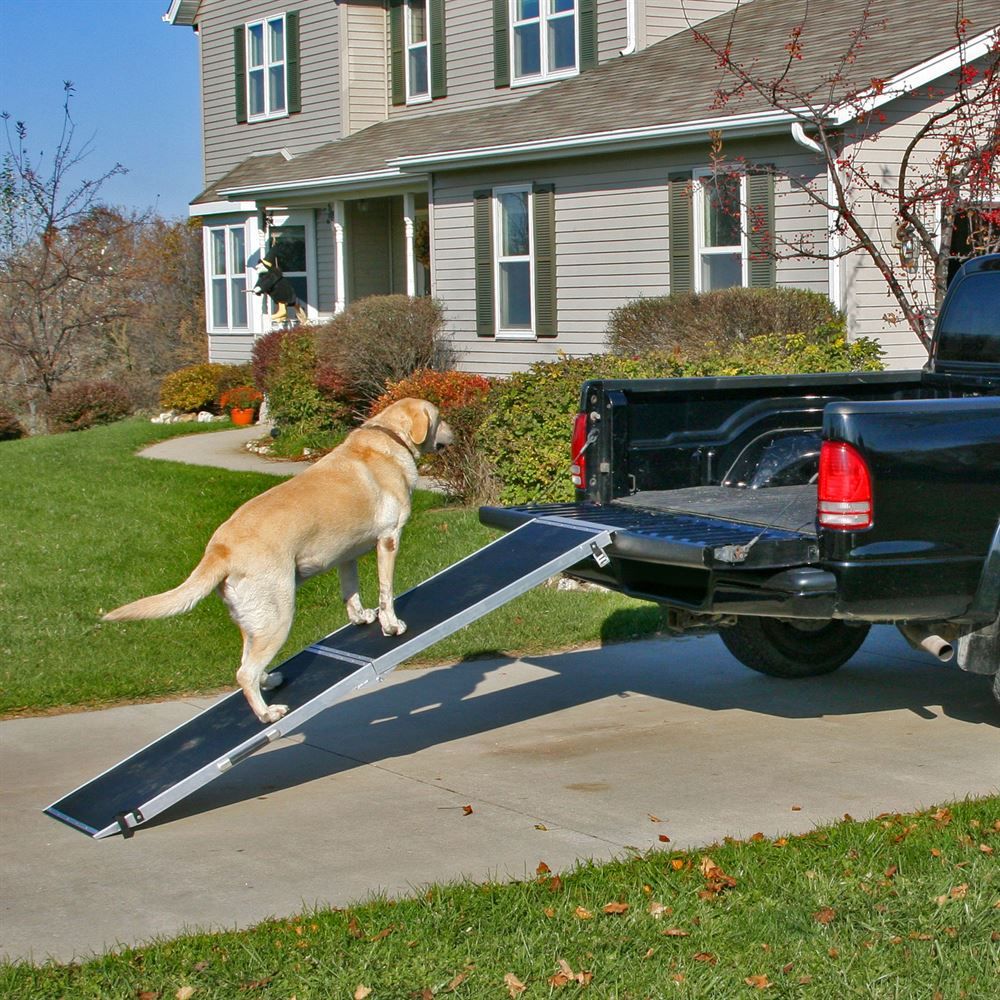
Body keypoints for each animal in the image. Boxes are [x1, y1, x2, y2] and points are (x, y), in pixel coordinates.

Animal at [105, 398, 454, 728]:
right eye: (439, 418)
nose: (455, 431)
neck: (390, 437)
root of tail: (220, 549)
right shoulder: (389, 539)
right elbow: (386, 590)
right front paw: (391, 624)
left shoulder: (346, 555)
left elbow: (350, 592)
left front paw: (361, 617)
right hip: (279, 614)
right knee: (244, 673)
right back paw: (267, 713)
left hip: (255, 617)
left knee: (248, 660)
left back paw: (270, 680)